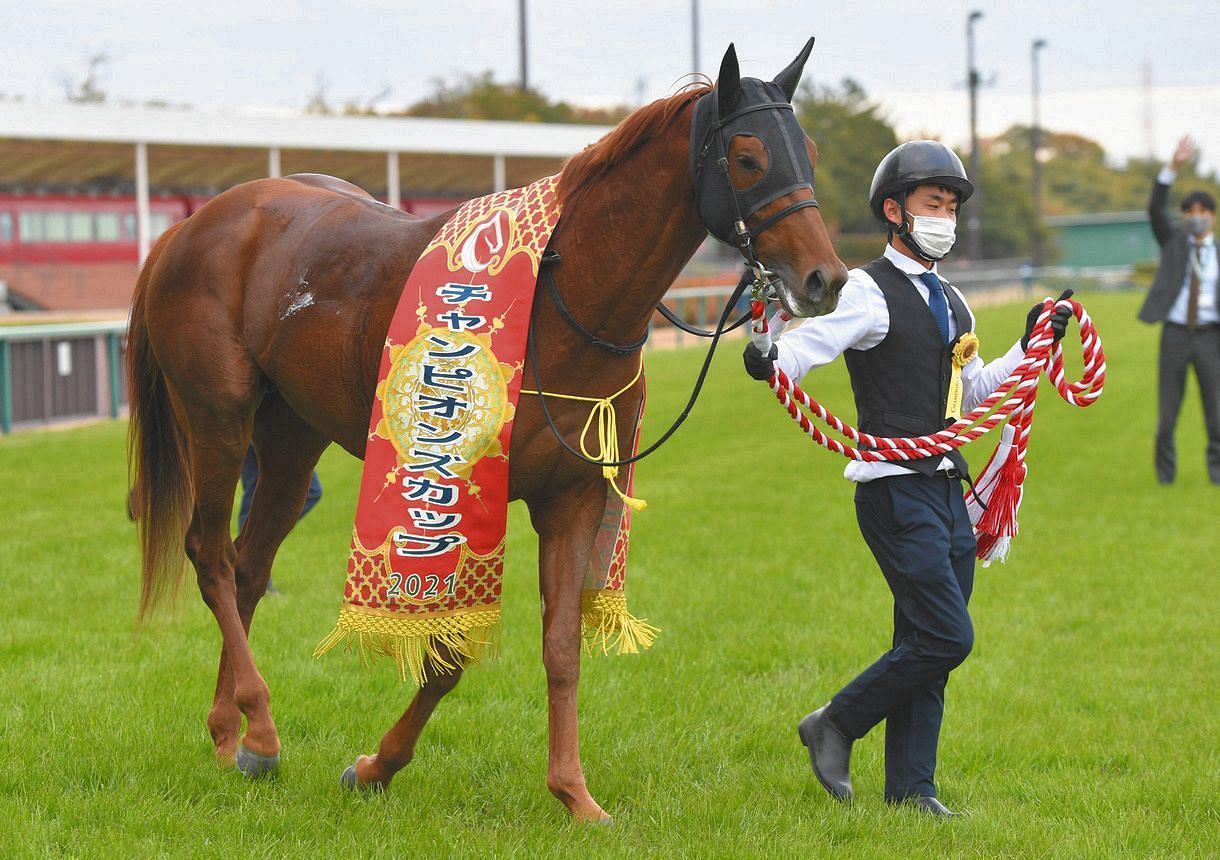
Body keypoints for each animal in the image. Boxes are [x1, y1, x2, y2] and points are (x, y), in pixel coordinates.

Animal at [126, 40, 849, 819]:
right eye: (747, 156)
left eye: (807, 151)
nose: (826, 278)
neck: (564, 297)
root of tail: (193, 224)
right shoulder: (459, 497)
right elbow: (448, 657)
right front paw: (377, 764)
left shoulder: (572, 497)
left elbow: (560, 646)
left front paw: (573, 793)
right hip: (218, 417)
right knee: (211, 555)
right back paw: (259, 729)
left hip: (291, 436)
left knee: (249, 566)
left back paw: (228, 730)